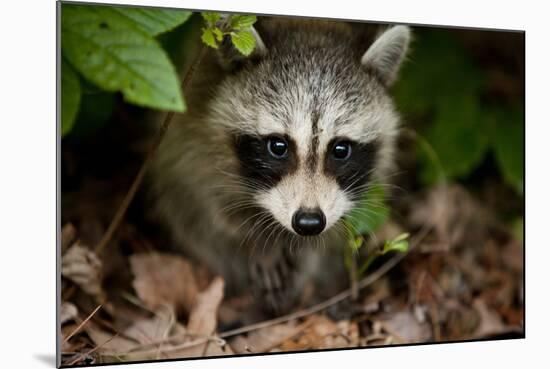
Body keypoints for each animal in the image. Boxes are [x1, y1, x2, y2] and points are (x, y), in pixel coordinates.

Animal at [149, 17, 412, 314]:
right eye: (278, 146)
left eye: (340, 150)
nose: (309, 222)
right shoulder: (196, 138)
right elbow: (215, 204)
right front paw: (259, 241)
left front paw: (302, 258)